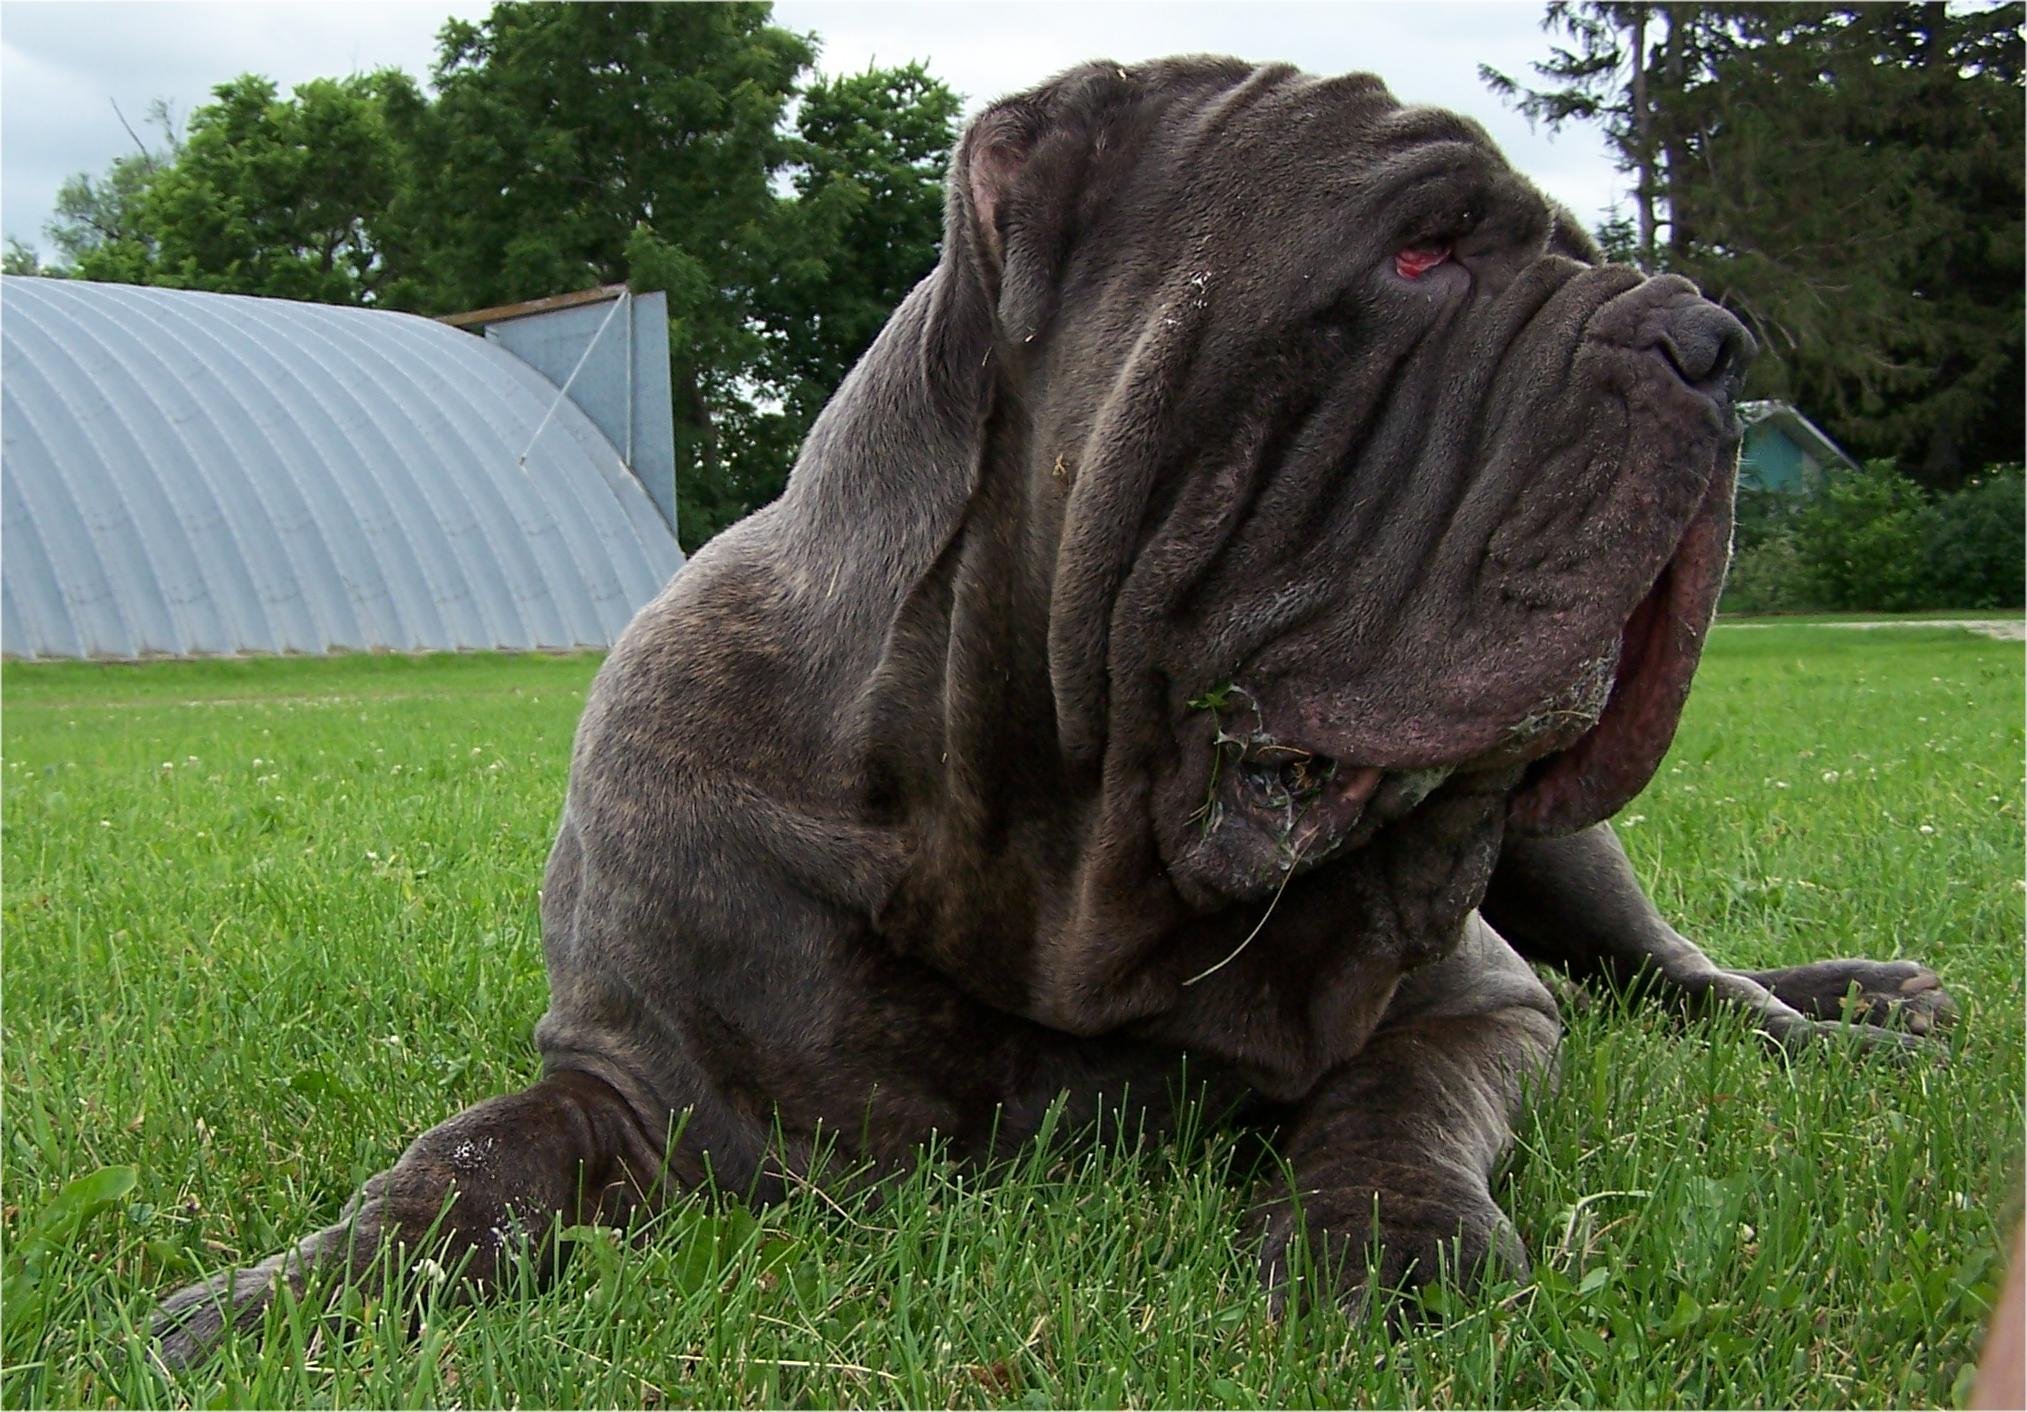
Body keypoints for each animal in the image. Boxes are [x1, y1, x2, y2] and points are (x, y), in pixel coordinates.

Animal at [154, 57, 1945, 1369]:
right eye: (1417, 254)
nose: (1709, 339)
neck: (1050, 851)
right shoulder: (635, 1071)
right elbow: (459, 1166)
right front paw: (279, 1296)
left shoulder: (1476, 1005)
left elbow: (1399, 1106)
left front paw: (1387, 1252)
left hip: (1566, 862)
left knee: (1677, 974)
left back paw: (1853, 1013)